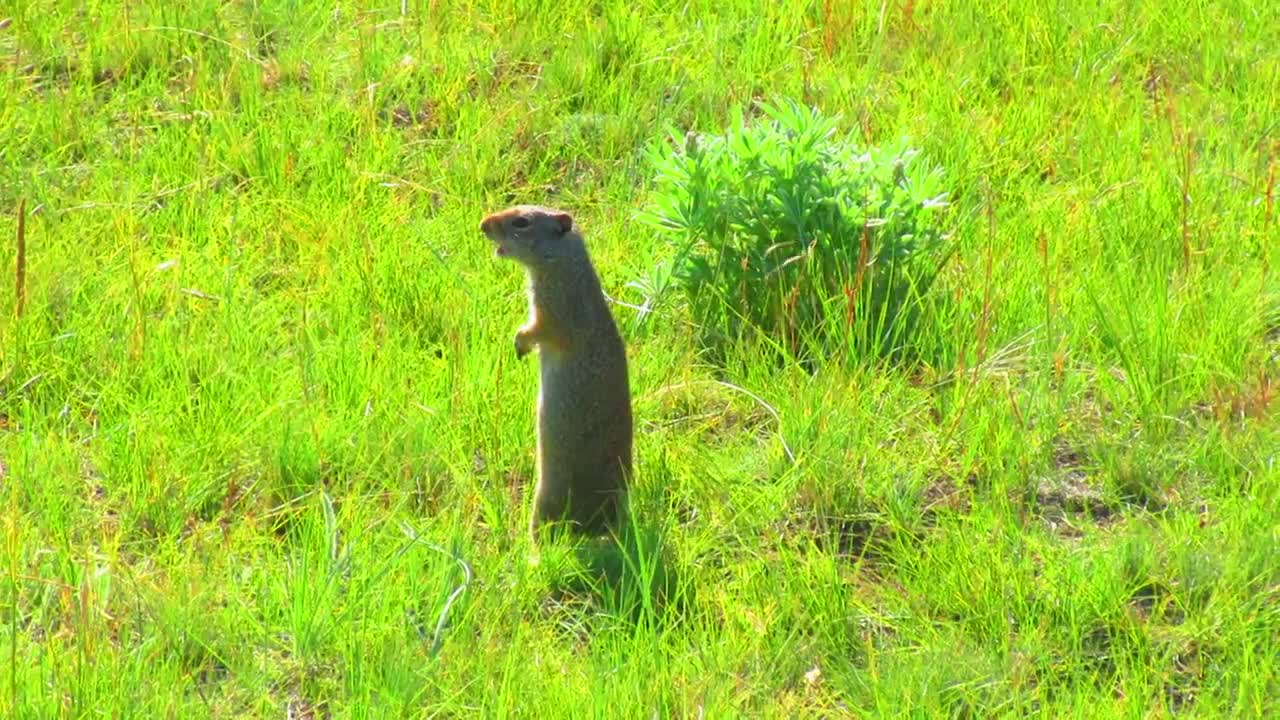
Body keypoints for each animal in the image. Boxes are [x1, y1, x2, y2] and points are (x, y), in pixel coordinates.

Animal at [481, 204, 634, 535]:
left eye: (521, 222)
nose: (482, 225)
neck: (562, 260)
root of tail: (604, 520)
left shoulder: (553, 309)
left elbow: (537, 329)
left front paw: (519, 344)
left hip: (545, 499)